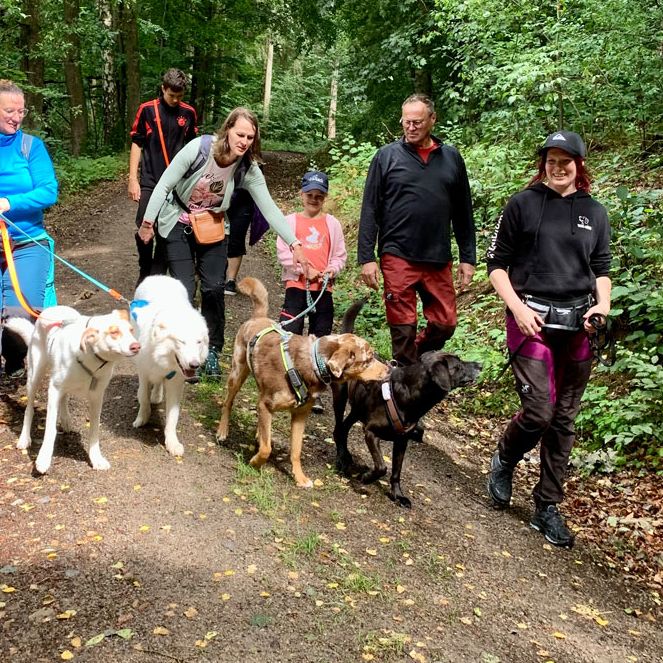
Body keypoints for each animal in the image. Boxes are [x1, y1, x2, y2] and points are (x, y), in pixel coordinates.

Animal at [8, 306, 141, 472]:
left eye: (131, 330)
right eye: (114, 332)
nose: (137, 346)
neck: (91, 356)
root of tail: (51, 309)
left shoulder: (97, 397)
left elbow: (94, 429)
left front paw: (96, 458)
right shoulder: (54, 390)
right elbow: (50, 429)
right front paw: (43, 458)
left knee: (64, 398)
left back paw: (65, 420)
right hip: (34, 375)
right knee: (29, 408)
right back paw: (24, 438)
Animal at [131, 274, 209, 456]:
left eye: (199, 342)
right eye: (181, 341)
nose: (194, 365)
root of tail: (160, 276)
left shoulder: (175, 382)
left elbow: (172, 416)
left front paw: (172, 443)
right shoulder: (144, 373)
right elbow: (143, 397)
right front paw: (142, 419)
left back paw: (157, 395)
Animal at [217, 276, 390, 488]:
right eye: (368, 359)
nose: (389, 369)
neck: (313, 363)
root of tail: (259, 317)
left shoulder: (300, 415)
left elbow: (296, 450)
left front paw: (299, 477)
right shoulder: (266, 404)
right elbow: (266, 449)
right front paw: (255, 463)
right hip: (237, 373)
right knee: (228, 402)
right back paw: (222, 431)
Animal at [332, 300, 482, 508]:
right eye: (458, 366)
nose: (480, 365)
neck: (409, 396)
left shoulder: (402, 441)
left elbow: (396, 471)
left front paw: (398, 495)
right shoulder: (370, 433)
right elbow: (382, 466)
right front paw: (368, 477)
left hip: (357, 409)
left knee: (345, 427)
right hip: (340, 398)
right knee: (339, 428)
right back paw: (341, 458)